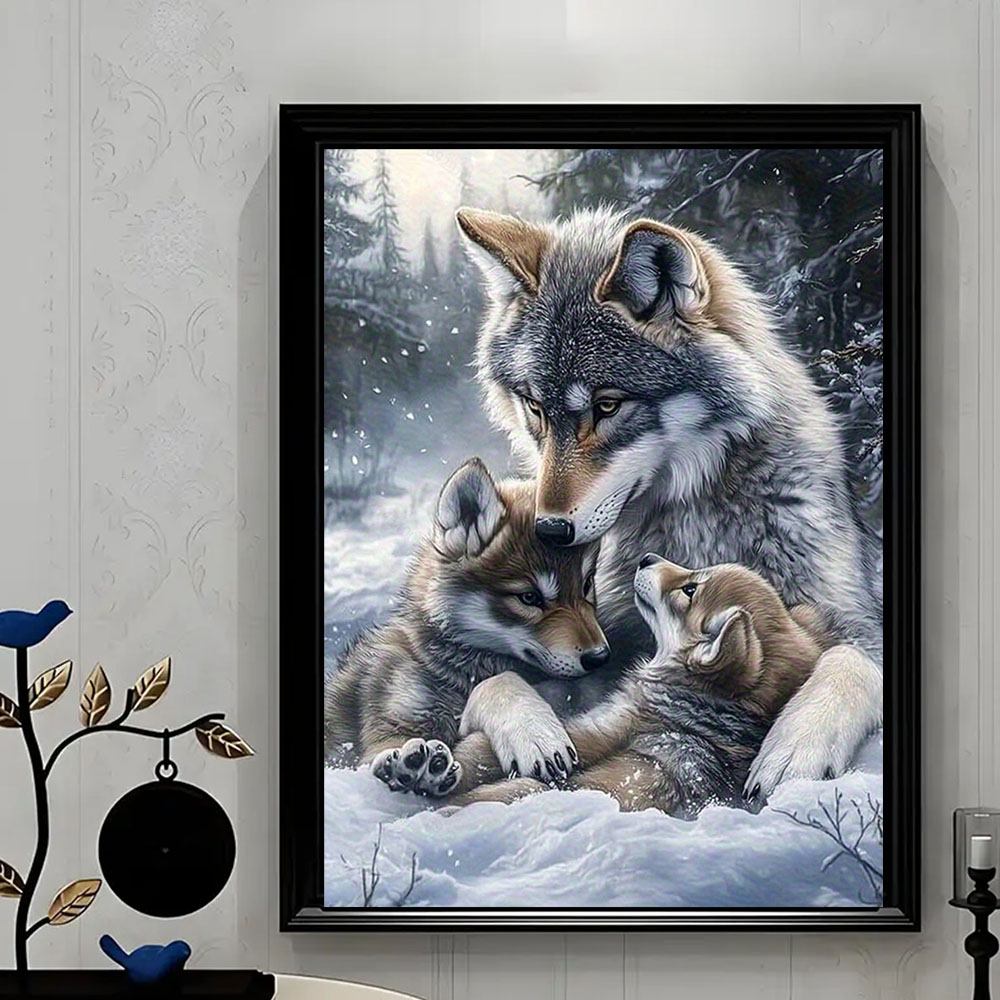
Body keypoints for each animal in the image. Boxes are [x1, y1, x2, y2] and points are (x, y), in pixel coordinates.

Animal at [324, 457, 606, 795]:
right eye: (529, 597)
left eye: (586, 585)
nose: (600, 657)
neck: (458, 674)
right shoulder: (385, 733)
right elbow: (500, 682)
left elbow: (499, 683)